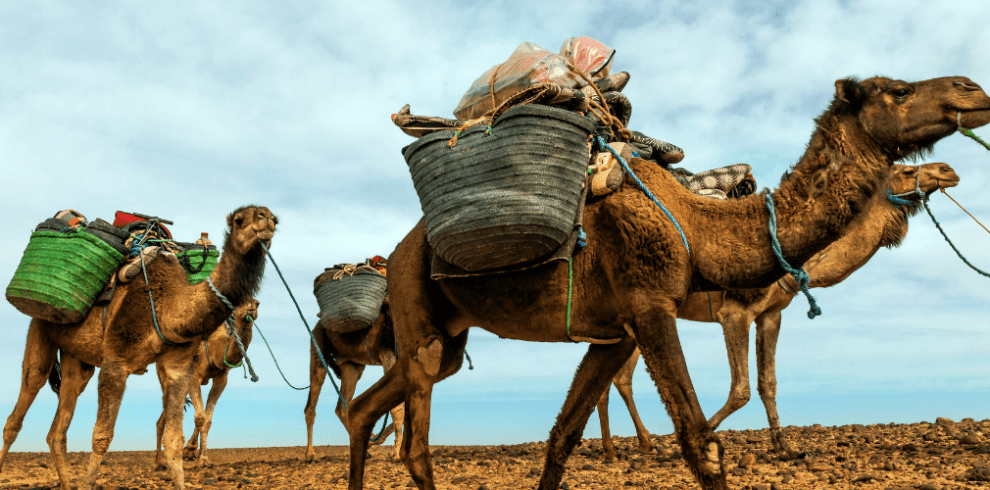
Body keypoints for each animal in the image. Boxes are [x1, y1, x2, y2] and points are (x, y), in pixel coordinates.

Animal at [153, 296, 262, 468]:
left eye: (258, 303)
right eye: (238, 303)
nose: (251, 305)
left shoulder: (221, 378)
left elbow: (207, 419)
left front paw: (202, 458)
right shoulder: (194, 374)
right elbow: (200, 417)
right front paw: (189, 450)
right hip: (164, 374)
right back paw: (159, 462)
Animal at [306, 300, 406, 462]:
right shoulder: (388, 352)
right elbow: (398, 407)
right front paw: (396, 453)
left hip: (351, 365)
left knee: (341, 407)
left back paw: (366, 446)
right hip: (318, 346)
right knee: (311, 403)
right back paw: (310, 455)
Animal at [596, 162, 960, 464]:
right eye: (906, 170)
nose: (948, 170)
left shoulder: (770, 314)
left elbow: (767, 383)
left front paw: (784, 448)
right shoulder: (735, 313)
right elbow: (741, 389)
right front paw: (689, 442)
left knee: (615, 378)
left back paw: (622, 448)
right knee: (618, 378)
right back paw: (627, 448)